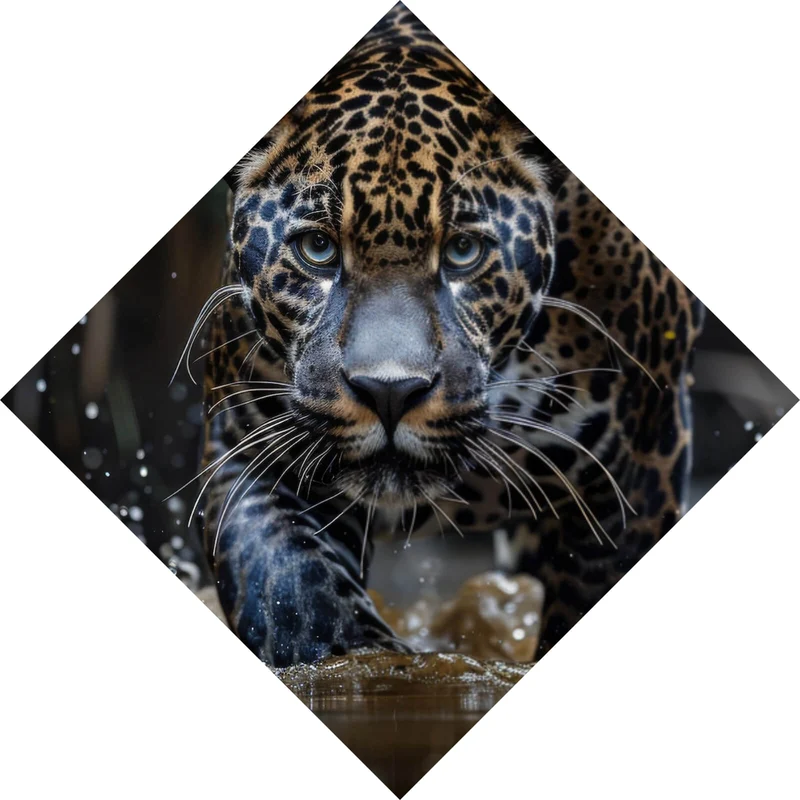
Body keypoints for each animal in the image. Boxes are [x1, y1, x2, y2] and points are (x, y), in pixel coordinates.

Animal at [182, 2, 704, 668]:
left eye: (462, 251)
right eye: (317, 248)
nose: (389, 393)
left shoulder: (635, 477)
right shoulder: (254, 446)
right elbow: (298, 598)